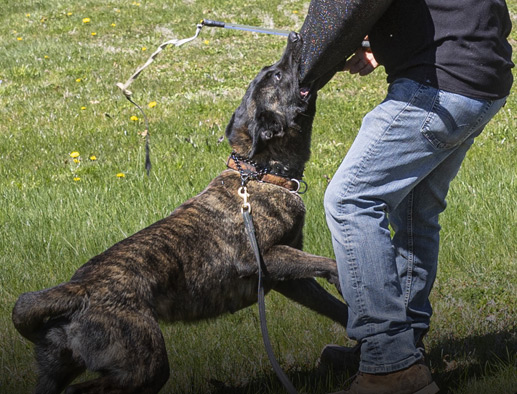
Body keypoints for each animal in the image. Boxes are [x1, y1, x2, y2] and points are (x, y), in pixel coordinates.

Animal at [12, 31, 346, 394]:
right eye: (276, 76)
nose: (295, 37)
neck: (259, 173)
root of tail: (77, 290)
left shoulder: (289, 278)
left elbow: (331, 302)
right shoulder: (262, 257)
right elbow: (325, 262)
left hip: (59, 366)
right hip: (144, 365)